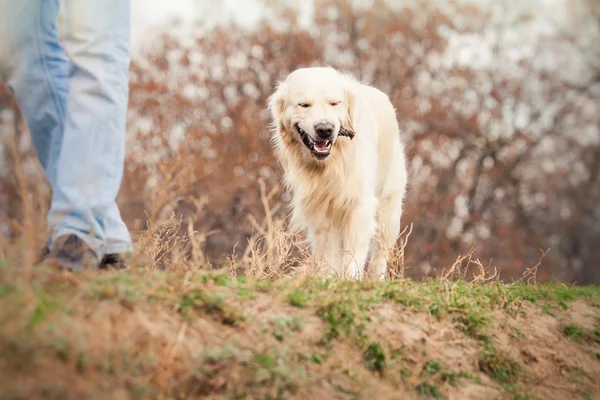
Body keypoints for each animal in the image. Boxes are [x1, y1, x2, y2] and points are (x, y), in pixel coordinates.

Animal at [270, 66, 408, 282]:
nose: (325, 129)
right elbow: (328, 254)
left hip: (389, 210)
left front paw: (351, 280)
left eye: (334, 103)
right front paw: (328, 278)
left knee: (380, 254)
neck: (330, 164)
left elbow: (354, 251)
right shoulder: (320, 210)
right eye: (304, 105)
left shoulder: (360, 204)